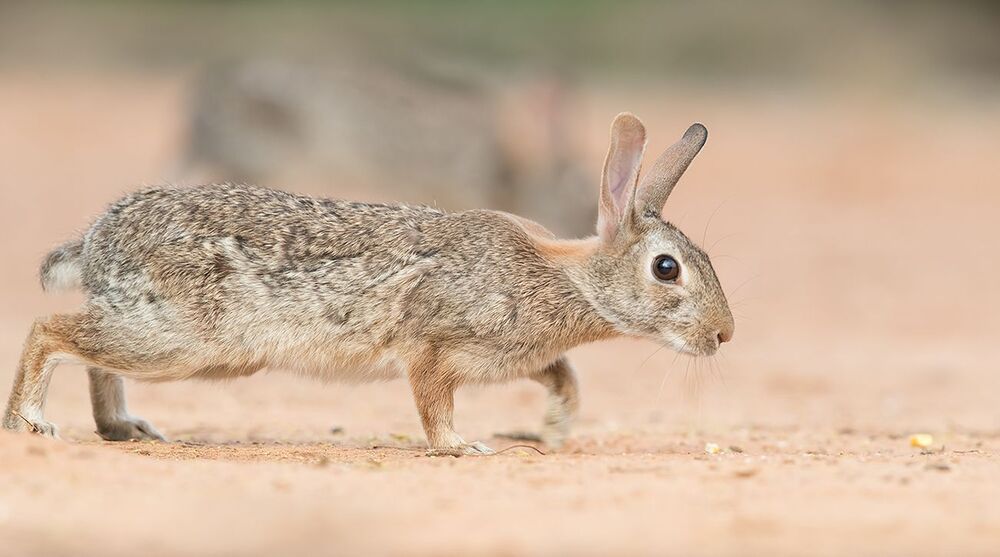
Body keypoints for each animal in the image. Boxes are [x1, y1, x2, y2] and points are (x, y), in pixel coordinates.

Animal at [3, 113, 734, 455]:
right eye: (666, 268)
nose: (724, 334)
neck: (571, 277)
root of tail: (98, 240)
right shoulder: (434, 346)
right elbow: (434, 402)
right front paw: (460, 447)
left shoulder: (518, 357)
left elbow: (566, 379)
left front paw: (551, 431)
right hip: (180, 339)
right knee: (50, 330)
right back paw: (29, 422)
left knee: (91, 354)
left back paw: (122, 427)